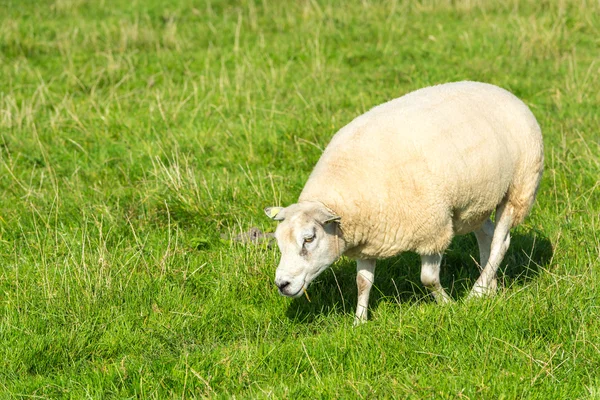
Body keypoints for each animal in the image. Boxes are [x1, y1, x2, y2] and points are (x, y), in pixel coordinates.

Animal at [264, 81, 548, 324]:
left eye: (309, 238)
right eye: (278, 242)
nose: (282, 285)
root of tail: (503, 91)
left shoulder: (433, 228)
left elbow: (428, 278)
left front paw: (448, 305)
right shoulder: (369, 238)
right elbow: (363, 282)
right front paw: (359, 322)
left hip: (519, 187)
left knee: (502, 241)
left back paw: (476, 291)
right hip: (475, 203)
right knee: (487, 235)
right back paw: (490, 288)